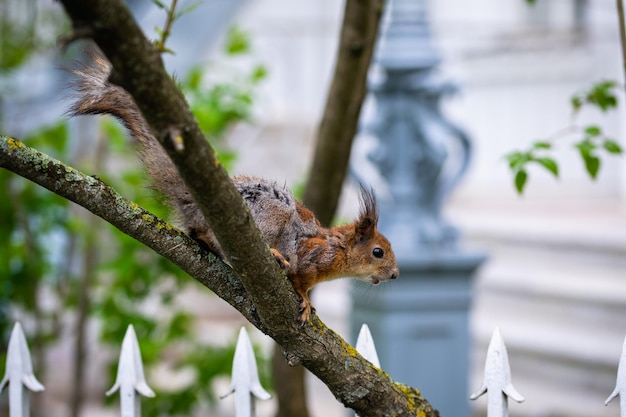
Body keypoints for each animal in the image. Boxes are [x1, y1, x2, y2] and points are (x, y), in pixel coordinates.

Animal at [69, 51, 400, 322]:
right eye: (378, 252)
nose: (396, 275)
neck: (338, 250)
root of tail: (196, 202)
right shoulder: (311, 257)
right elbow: (301, 281)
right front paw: (305, 301)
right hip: (269, 217)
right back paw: (271, 253)